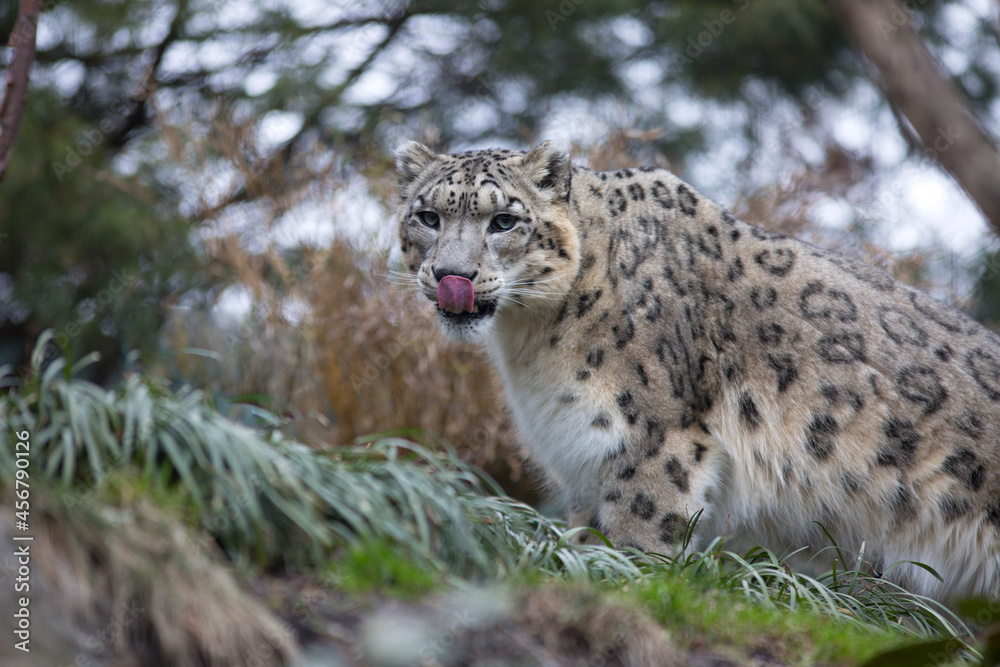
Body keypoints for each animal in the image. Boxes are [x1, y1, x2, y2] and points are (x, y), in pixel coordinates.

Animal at [394, 140, 1000, 602]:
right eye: (428, 216)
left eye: (504, 221)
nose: (451, 275)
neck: (531, 344)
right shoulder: (586, 460)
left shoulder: (653, 443)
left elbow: (641, 539)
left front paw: (626, 587)